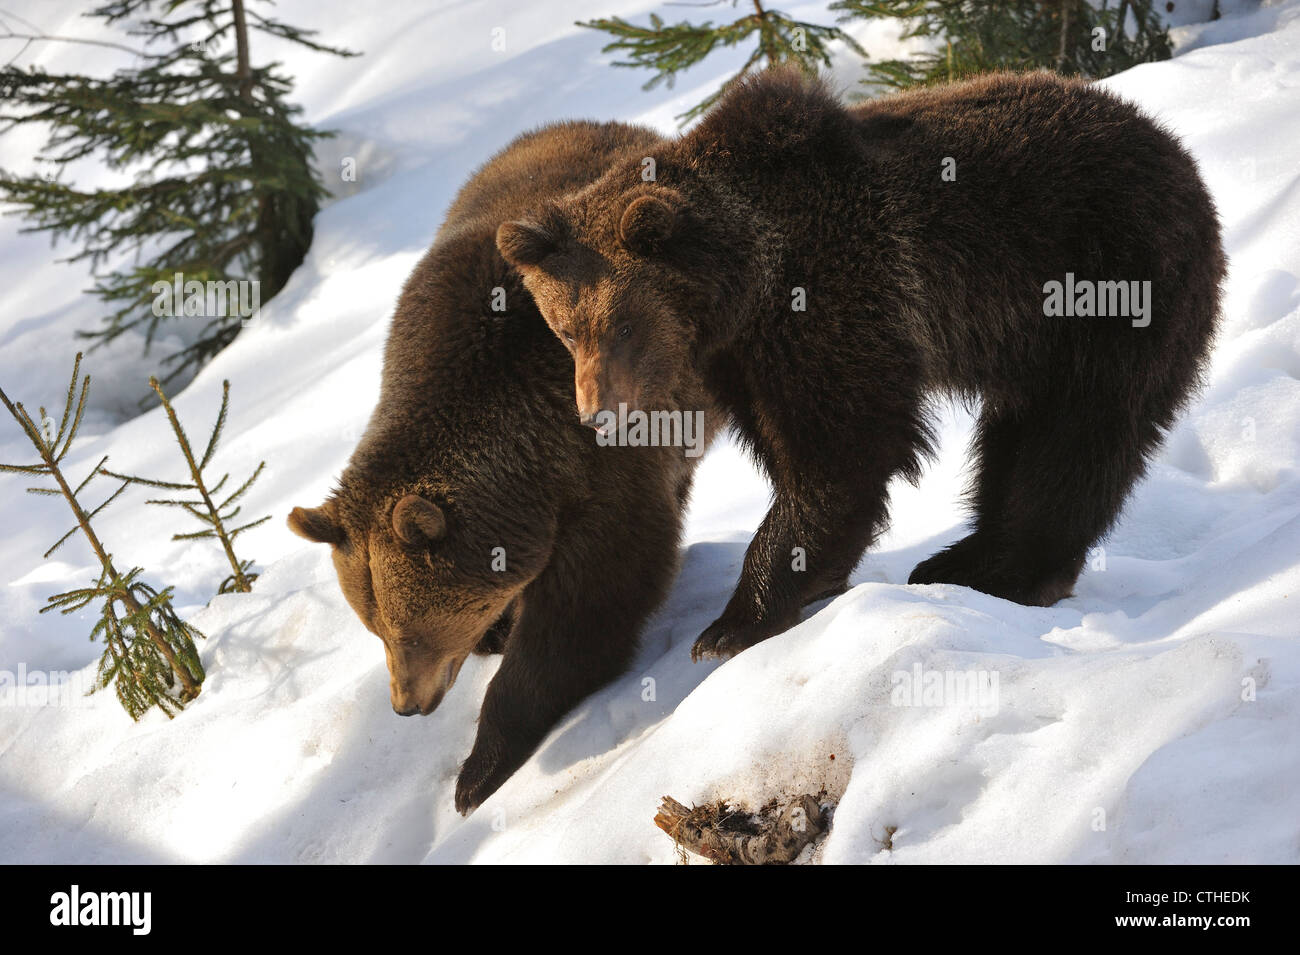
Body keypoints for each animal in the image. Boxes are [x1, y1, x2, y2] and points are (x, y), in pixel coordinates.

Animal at [286, 115, 728, 810]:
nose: (406, 704)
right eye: (373, 627)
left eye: (412, 633)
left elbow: (587, 605)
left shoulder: (602, 468)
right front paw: (495, 635)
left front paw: (479, 769)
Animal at [493, 69, 1216, 665]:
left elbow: (841, 449)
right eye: (565, 329)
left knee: (1072, 436)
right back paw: (964, 557)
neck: (740, 285)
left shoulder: (830, 297)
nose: (597, 414)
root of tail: (1177, 150)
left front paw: (732, 623)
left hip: (1106, 290)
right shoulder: (744, 358)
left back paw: (1010, 570)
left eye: (622, 325)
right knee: (1017, 440)